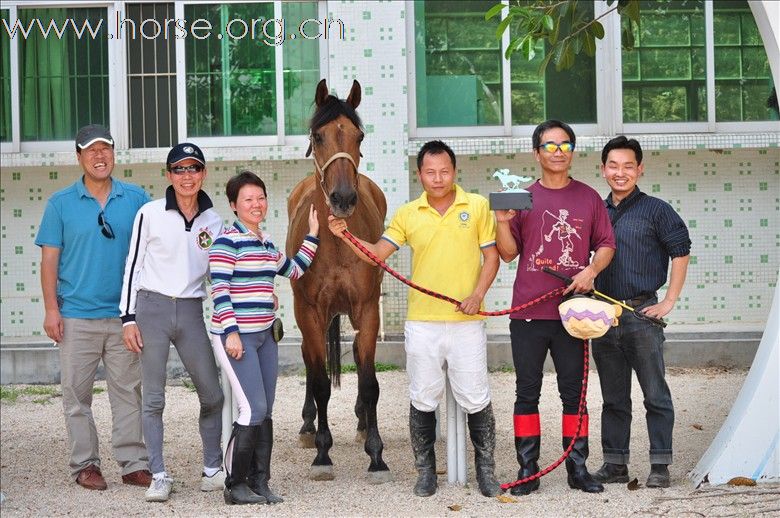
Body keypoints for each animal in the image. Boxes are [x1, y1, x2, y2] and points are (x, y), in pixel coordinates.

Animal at [284, 79, 390, 486]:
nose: (343, 198)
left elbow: (370, 382)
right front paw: (323, 454)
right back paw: (307, 427)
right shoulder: (310, 313)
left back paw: (360, 423)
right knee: (310, 364)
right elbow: (320, 383)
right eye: (318, 135)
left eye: (359, 136)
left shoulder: (367, 310)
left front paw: (376, 456)